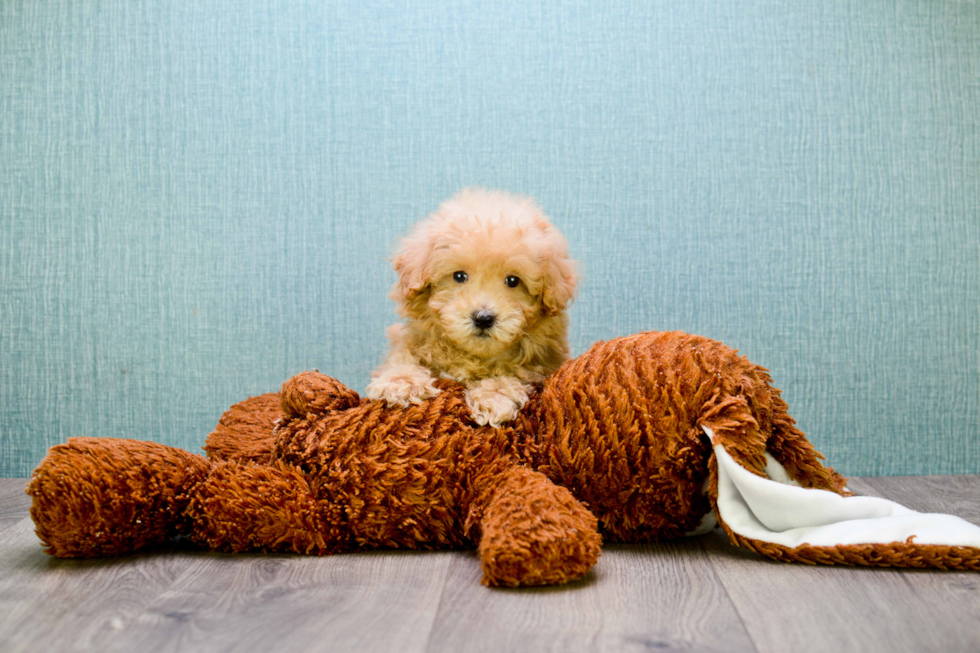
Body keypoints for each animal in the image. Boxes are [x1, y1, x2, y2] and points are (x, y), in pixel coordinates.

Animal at [370, 187, 580, 428]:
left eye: (513, 281)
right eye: (459, 276)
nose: (483, 318)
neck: (473, 356)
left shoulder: (539, 364)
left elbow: (512, 372)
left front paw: (494, 396)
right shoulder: (412, 340)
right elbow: (403, 356)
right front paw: (400, 382)